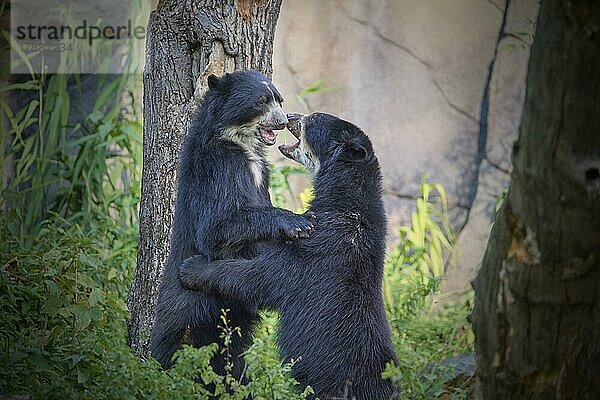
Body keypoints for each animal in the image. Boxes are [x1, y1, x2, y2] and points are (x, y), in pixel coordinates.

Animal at [150, 70, 316, 380]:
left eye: (279, 99)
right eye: (260, 101)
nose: (283, 121)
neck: (239, 141)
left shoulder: (260, 173)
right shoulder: (219, 166)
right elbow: (217, 227)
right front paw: (297, 222)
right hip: (191, 313)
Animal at [180, 112, 400, 400]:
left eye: (312, 120)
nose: (291, 117)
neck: (347, 200)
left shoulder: (319, 250)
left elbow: (263, 276)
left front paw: (191, 268)